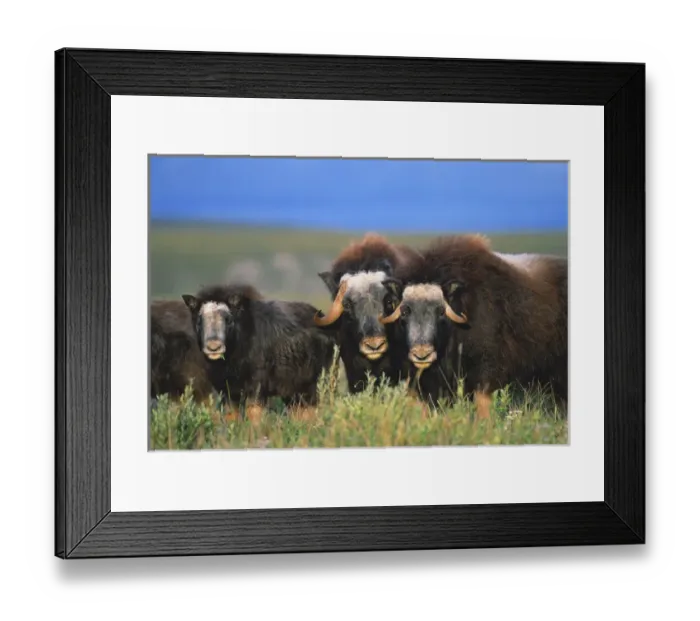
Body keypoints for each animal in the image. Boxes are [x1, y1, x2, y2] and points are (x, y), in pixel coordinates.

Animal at [181, 283, 337, 413]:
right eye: (199, 320)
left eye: (228, 320)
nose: (214, 347)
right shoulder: (228, 394)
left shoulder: (256, 390)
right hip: (294, 394)